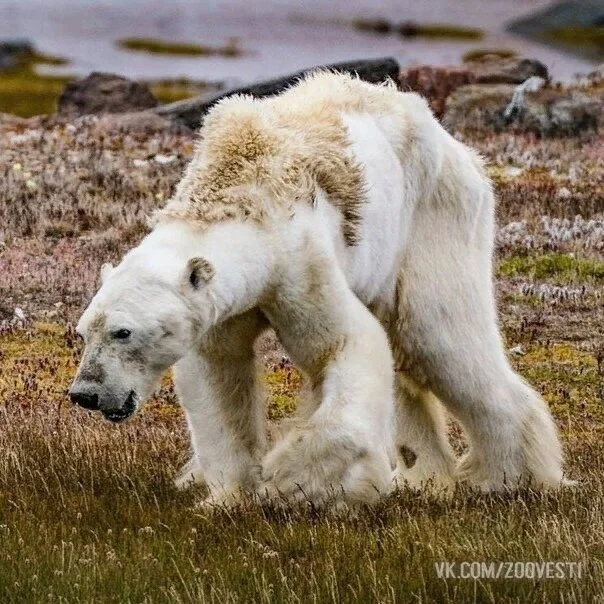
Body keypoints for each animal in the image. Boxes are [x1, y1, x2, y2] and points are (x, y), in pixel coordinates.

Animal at [71, 69, 568, 504]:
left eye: (123, 332)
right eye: (83, 331)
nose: (85, 394)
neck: (239, 192)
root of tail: (458, 148)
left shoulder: (299, 263)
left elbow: (345, 345)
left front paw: (292, 479)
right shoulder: (222, 306)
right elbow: (218, 374)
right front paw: (229, 495)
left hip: (433, 219)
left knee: (439, 338)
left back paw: (508, 477)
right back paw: (424, 476)